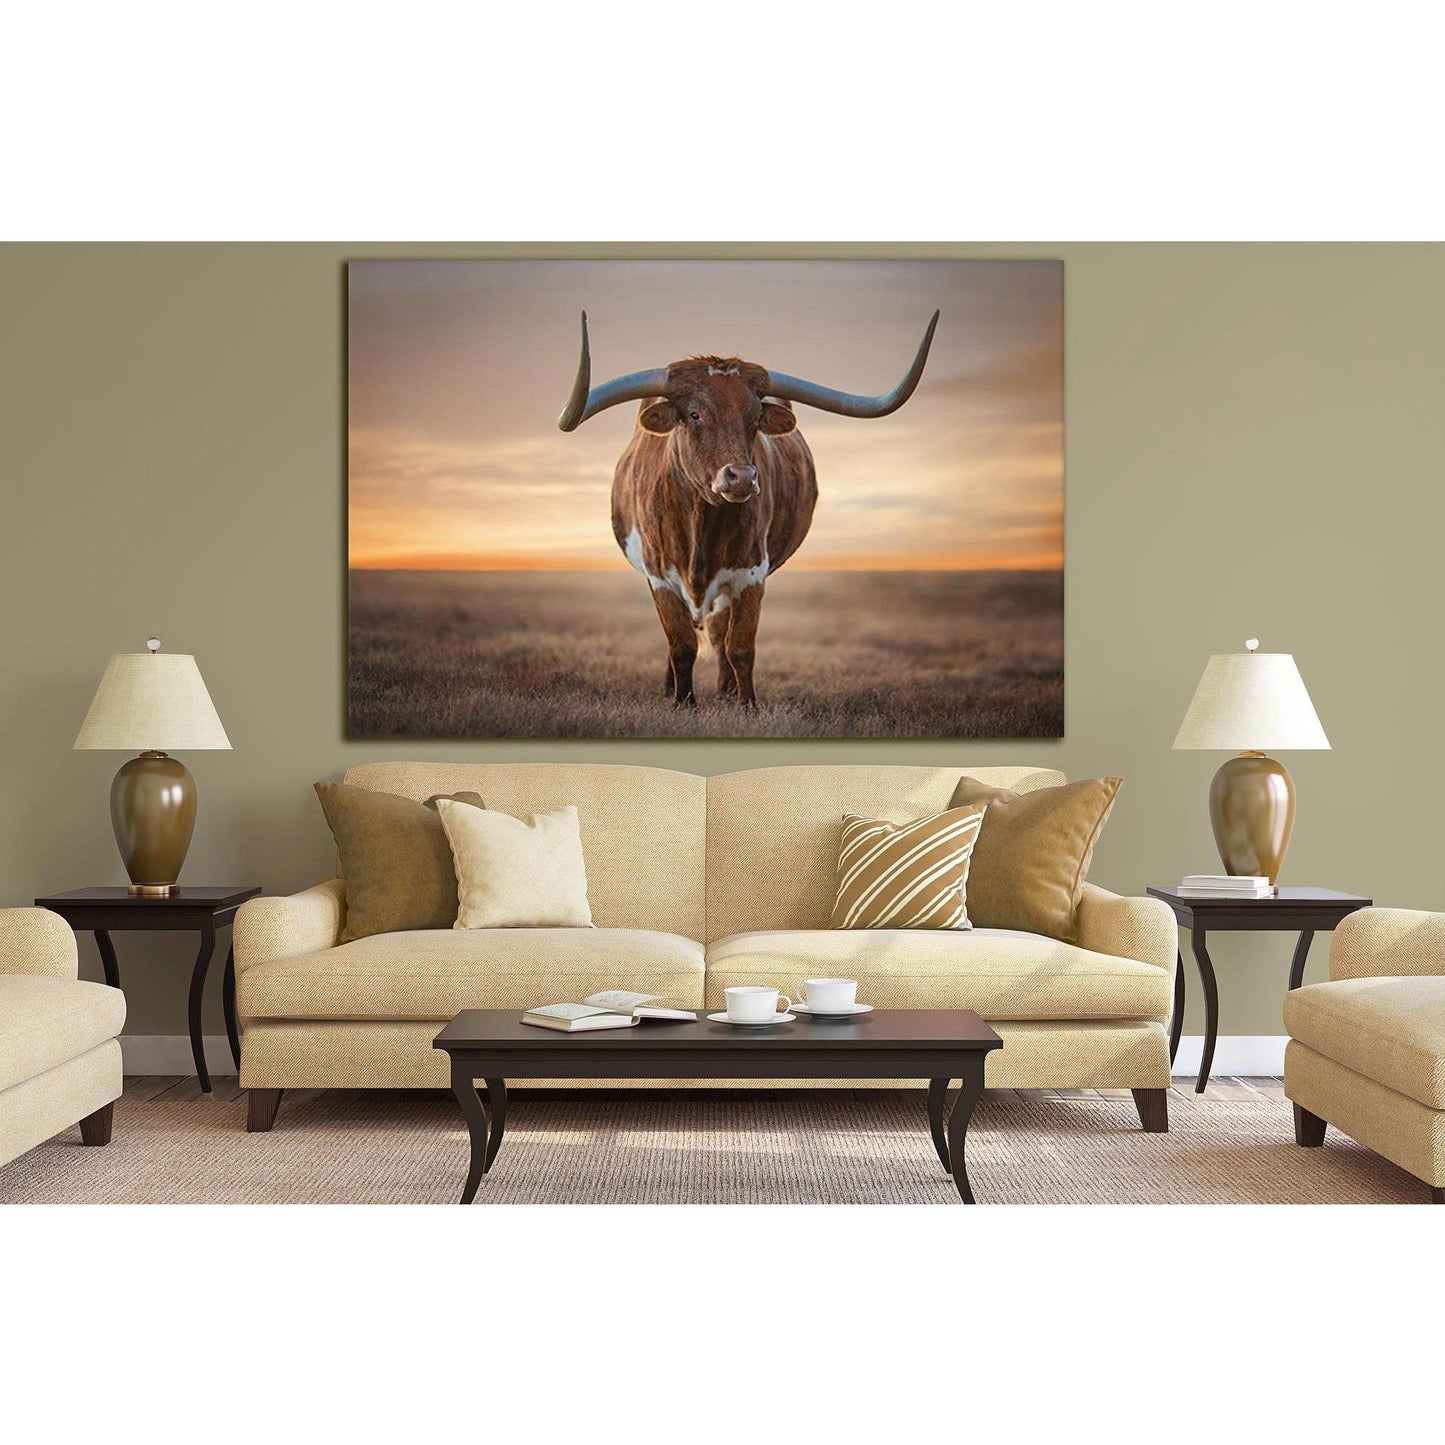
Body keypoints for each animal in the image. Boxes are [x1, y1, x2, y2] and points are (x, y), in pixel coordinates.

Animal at [557, 310, 939, 708]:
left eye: (755, 417)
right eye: (694, 413)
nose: (741, 476)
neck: (699, 519)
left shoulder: (750, 572)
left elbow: (740, 646)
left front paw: (746, 705)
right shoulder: (658, 574)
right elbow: (681, 644)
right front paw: (683, 702)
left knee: (719, 634)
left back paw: (725, 691)